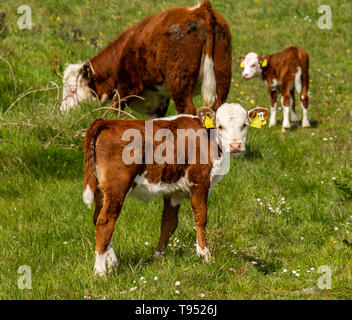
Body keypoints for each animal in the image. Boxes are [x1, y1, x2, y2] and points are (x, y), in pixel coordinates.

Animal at [61, 1, 231, 117]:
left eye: (73, 90)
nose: (63, 112)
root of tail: (201, 9)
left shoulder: (127, 86)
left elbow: (115, 110)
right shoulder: (159, 101)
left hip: (179, 82)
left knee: (187, 110)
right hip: (222, 76)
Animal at [83, 104, 270, 276]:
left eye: (244, 125)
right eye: (220, 126)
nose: (235, 145)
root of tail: (107, 121)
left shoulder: (174, 192)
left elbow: (168, 224)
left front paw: (157, 256)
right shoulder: (199, 182)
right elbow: (200, 218)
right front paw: (205, 255)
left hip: (101, 190)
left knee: (98, 218)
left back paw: (113, 263)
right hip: (117, 186)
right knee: (105, 222)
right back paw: (99, 272)